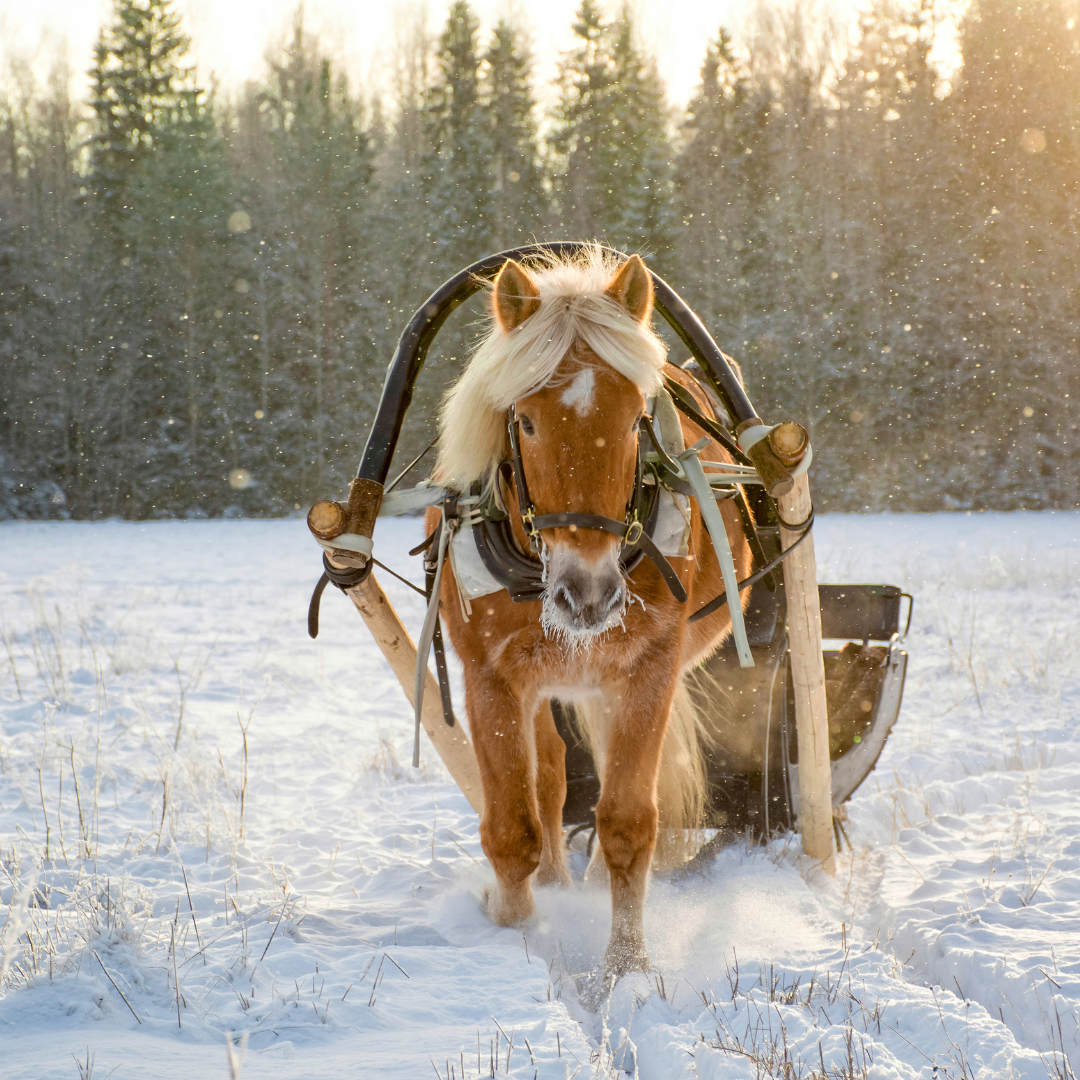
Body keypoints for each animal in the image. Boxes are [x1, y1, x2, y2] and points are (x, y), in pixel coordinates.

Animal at [423, 248, 751, 989]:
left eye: (634, 419)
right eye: (525, 421)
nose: (588, 594)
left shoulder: (647, 670)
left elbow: (628, 823)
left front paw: (625, 971)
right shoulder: (490, 678)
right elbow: (512, 826)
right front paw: (517, 929)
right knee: (546, 777)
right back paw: (554, 880)